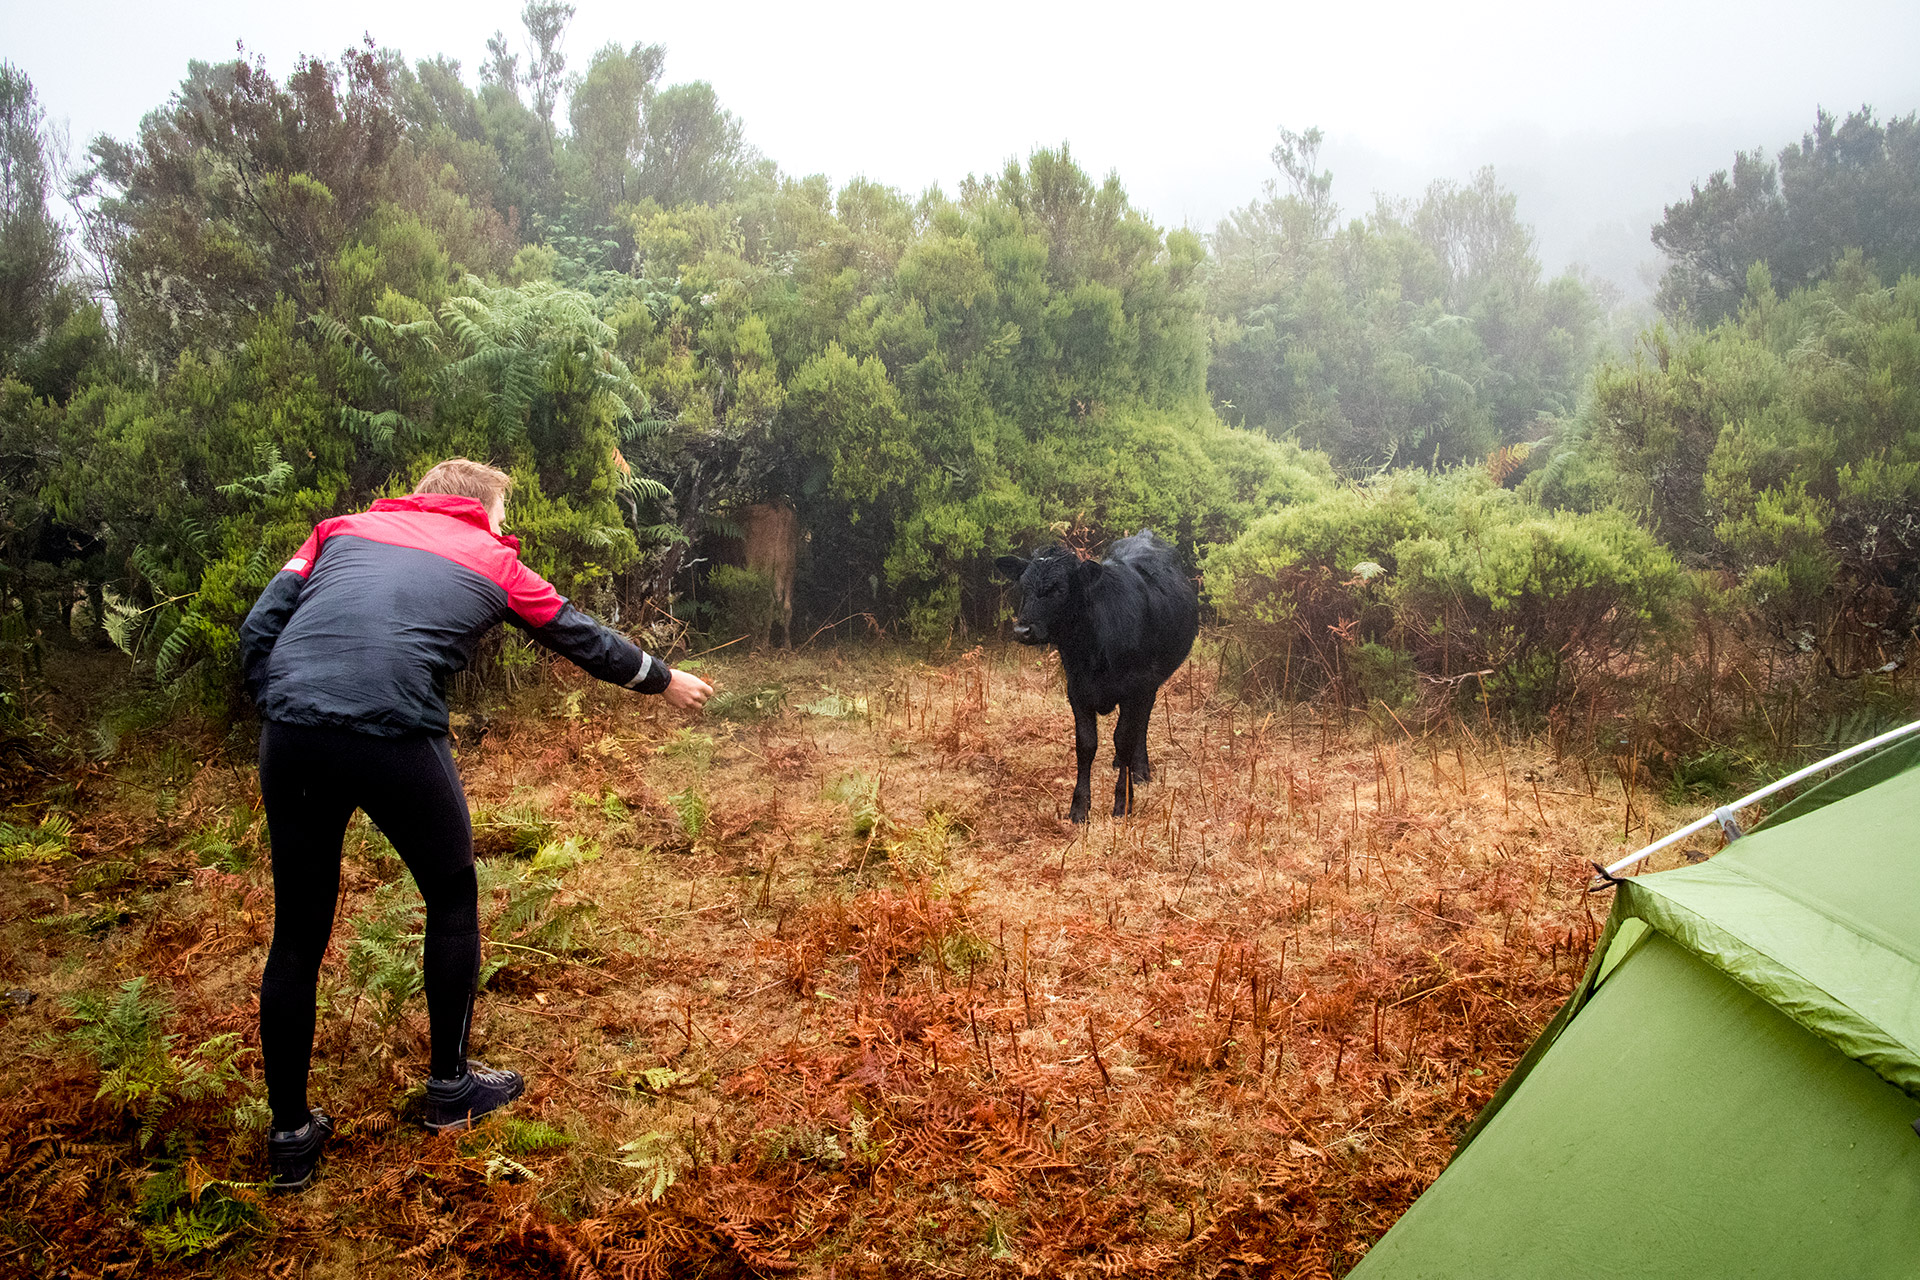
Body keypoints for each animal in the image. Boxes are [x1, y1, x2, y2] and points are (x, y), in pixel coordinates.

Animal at [998, 529, 1190, 821]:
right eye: (1023, 587)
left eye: (1060, 588)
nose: (1023, 630)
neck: (1091, 650)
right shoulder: (1077, 691)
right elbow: (1086, 745)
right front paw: (1079, 808)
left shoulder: (1134, 688)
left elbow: (1124, 739)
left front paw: (1123, 803)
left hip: (1150, 683)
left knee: (1141, 723)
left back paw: (1140, 769)